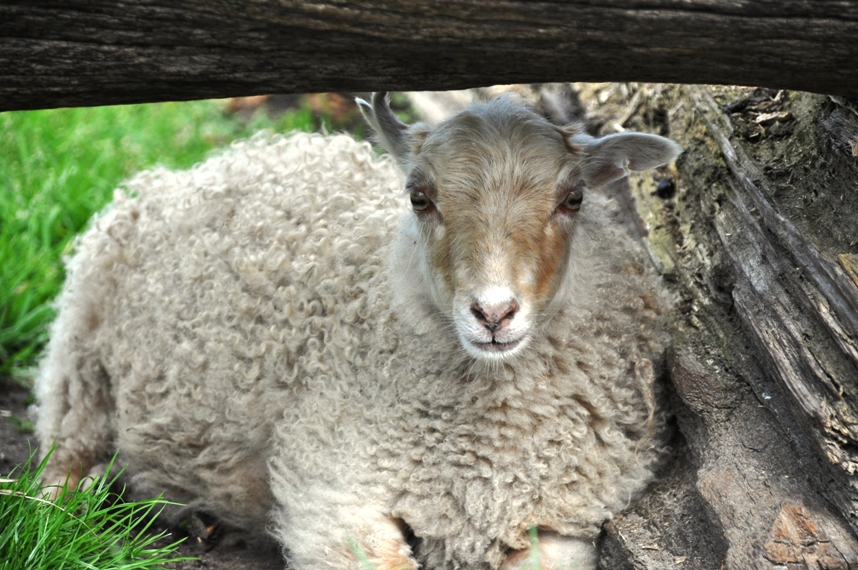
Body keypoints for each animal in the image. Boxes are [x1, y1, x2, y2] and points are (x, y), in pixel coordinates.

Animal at [36, 91, 684, 568]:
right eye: (419, 198)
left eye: (573, 199)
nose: (495, 313)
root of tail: (210, 165)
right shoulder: (333, 486)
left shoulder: (555, 520)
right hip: (80, 352)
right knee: (62, 455)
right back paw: (57, 510)